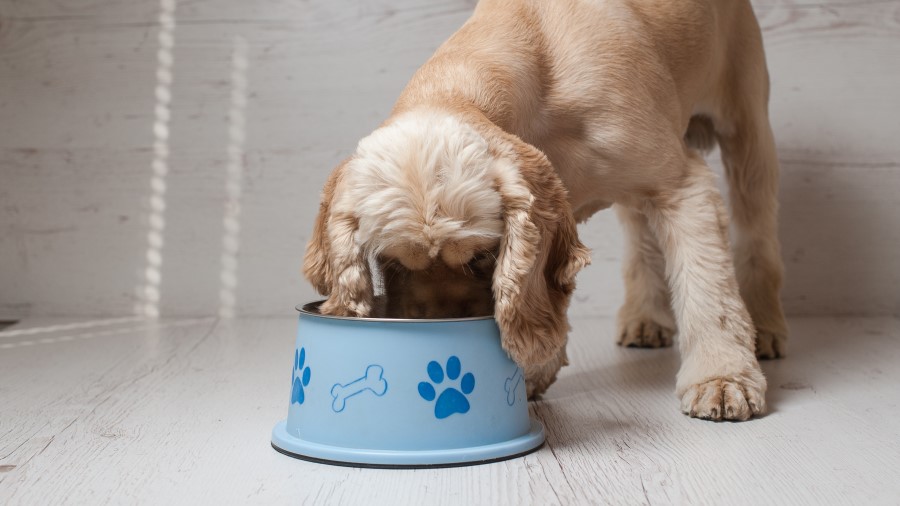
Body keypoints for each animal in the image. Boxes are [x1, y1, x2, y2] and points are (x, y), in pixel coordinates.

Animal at [302, 0, 788, 422]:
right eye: (391, 263)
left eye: (482, 258)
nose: (443, 330)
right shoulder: (562, 210)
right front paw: (533, 372)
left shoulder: (681, 186)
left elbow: (708, 289)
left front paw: (722, 378)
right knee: (640, 234)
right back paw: (644, 319)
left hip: (748, 129)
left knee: (757, 230)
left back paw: (765, 328)